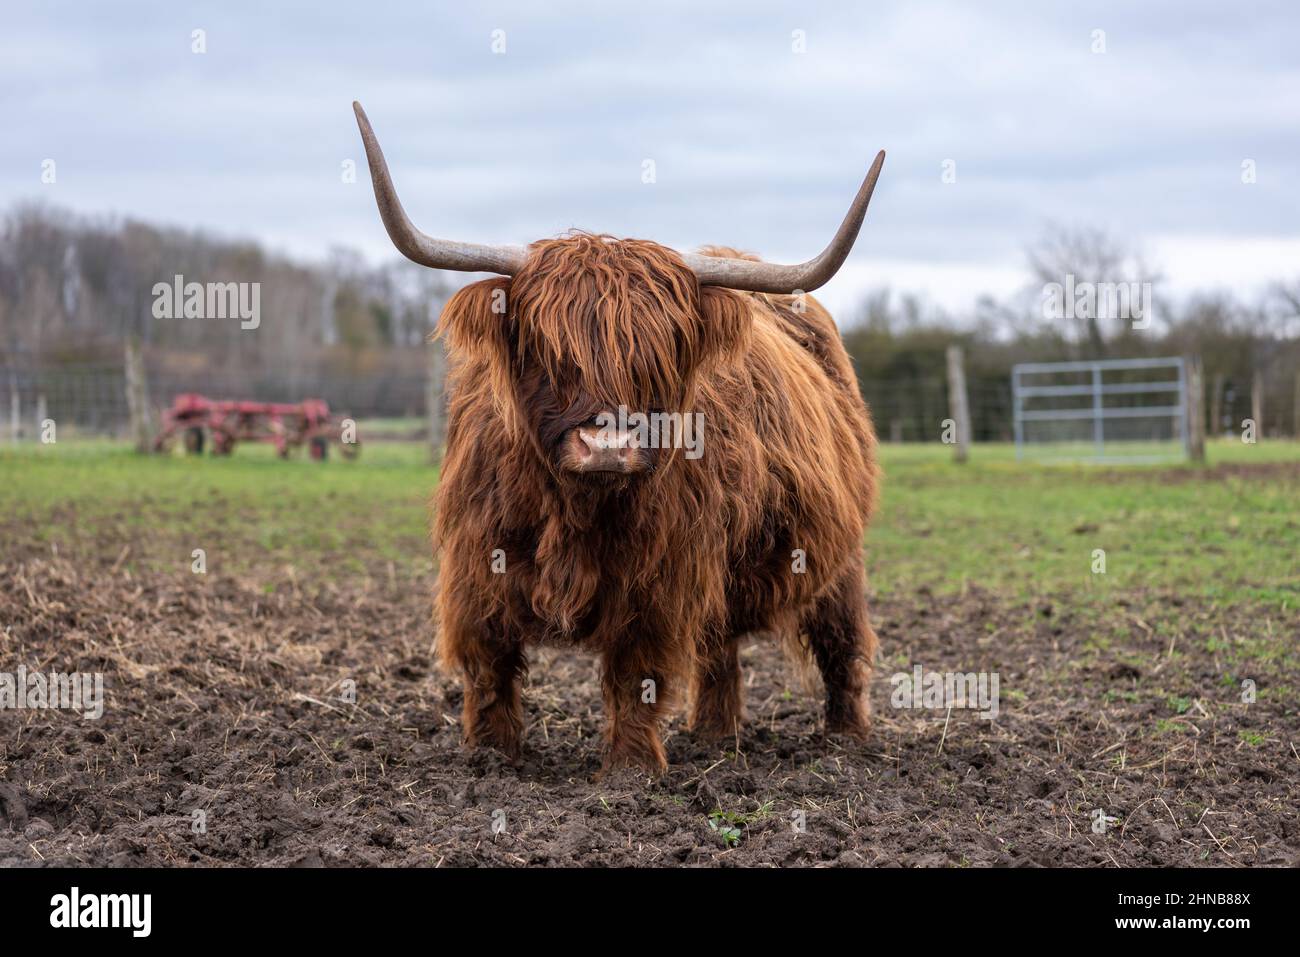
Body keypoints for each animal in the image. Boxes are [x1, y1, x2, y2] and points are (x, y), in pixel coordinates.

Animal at [353, 100, 883, 774]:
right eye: (547, 350)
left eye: (657, 359)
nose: (608, 446)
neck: (572, 509)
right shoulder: (476, 570)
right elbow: (489, 666)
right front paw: (491, 756)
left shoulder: (660, 579)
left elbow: (636, 674)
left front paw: (630, 768)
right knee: (720, 649)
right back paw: (715, 736)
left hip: (841, 557)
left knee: (841, 642)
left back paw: (846, 740)